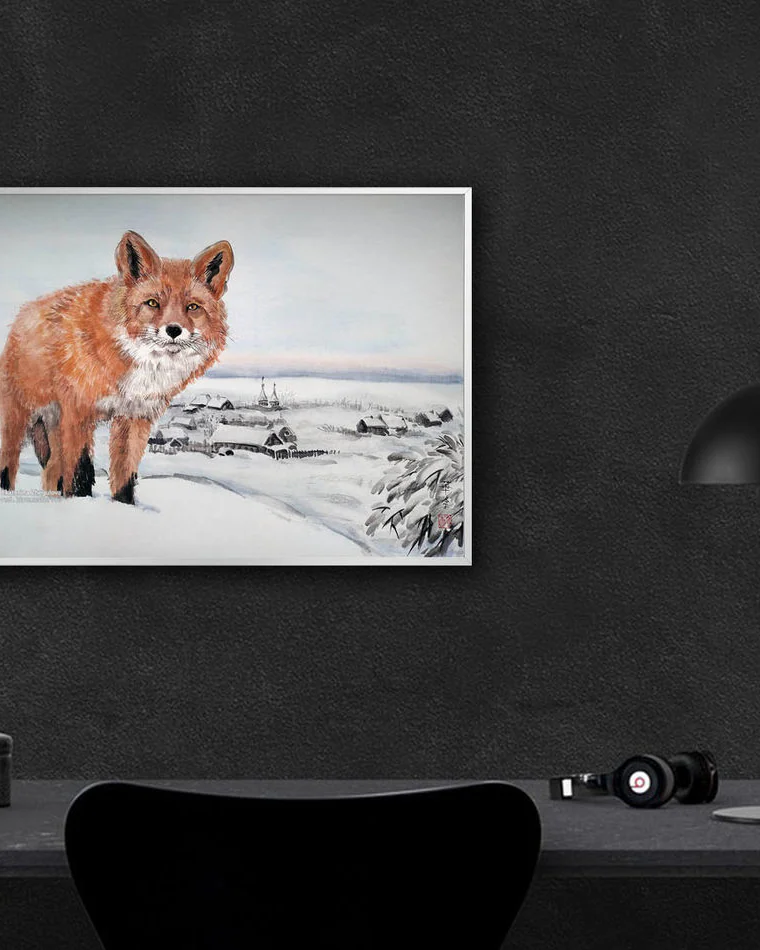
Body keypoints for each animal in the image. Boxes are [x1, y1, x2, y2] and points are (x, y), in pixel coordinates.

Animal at [0, 231, 233, 504]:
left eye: (193, 307)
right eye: (152, 303)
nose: (174, 330)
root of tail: (20, 316)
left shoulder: (134, 417)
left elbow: (124, 474)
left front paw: (124, 506)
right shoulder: (79, 412)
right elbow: (80, 469)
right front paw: (80, 502)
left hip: (54, 425)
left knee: (52, 471)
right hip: (17, 419)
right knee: (9, 464)